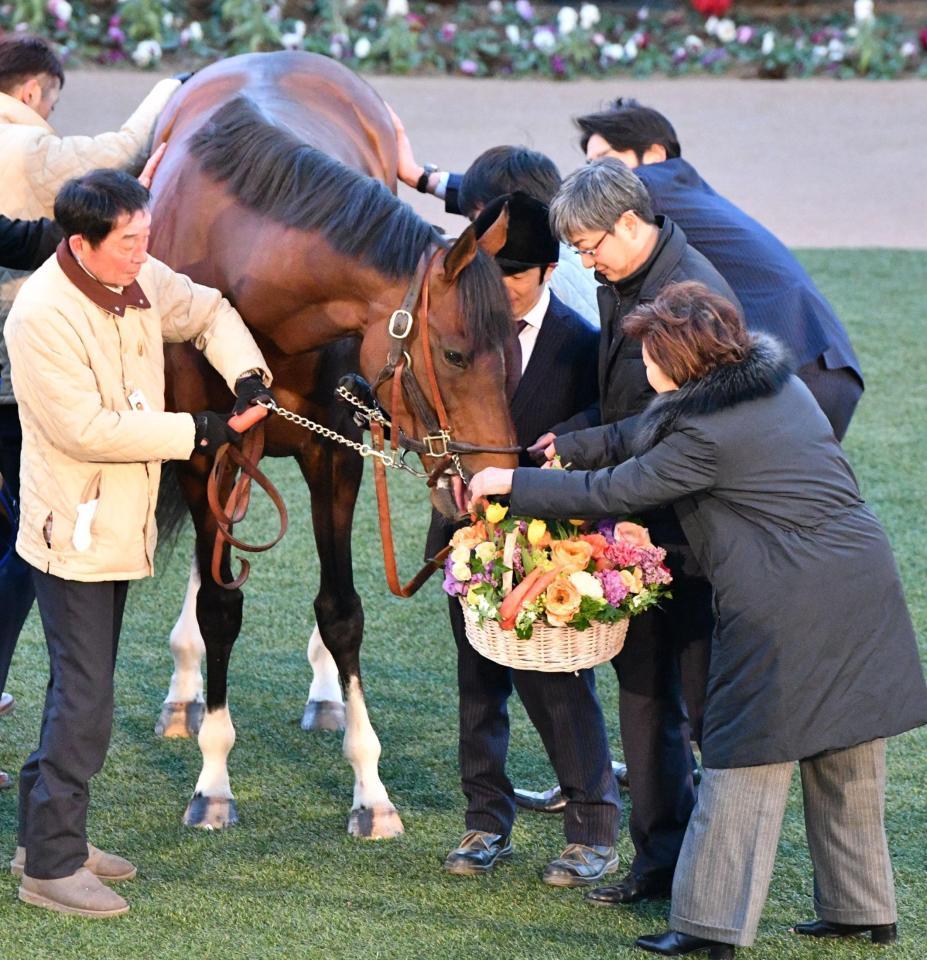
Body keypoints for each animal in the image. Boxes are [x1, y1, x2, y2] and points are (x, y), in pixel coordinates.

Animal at [149, 50, 520, 840]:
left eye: (513, 351)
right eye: (454, 355)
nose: (487, 486)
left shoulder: (338, 454)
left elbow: (342, 611)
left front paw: (370, 791)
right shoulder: (202, 452)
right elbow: (220, 605)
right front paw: (213, 780)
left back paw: (323, 693)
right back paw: (186, 688)